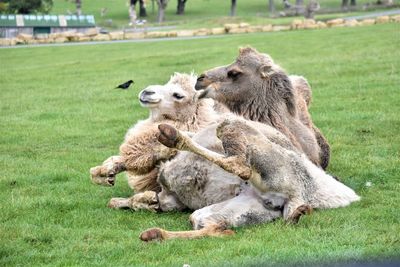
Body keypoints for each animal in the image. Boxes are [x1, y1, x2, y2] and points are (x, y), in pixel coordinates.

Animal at [139, 119, 360, 243]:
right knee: (208, 223)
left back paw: (171, 135)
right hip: (250, 204)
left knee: (240, 164)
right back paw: (154, 235)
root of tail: (300, 197)